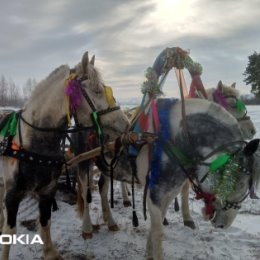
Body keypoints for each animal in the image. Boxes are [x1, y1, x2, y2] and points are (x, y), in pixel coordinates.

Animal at [0, 51, 129, 260]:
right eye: (96, 91)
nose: (126, 124)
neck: (33, 143)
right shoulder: (13, 196)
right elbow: (9, 233)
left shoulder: (47, 190)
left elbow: (45, 222)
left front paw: (50, 252)